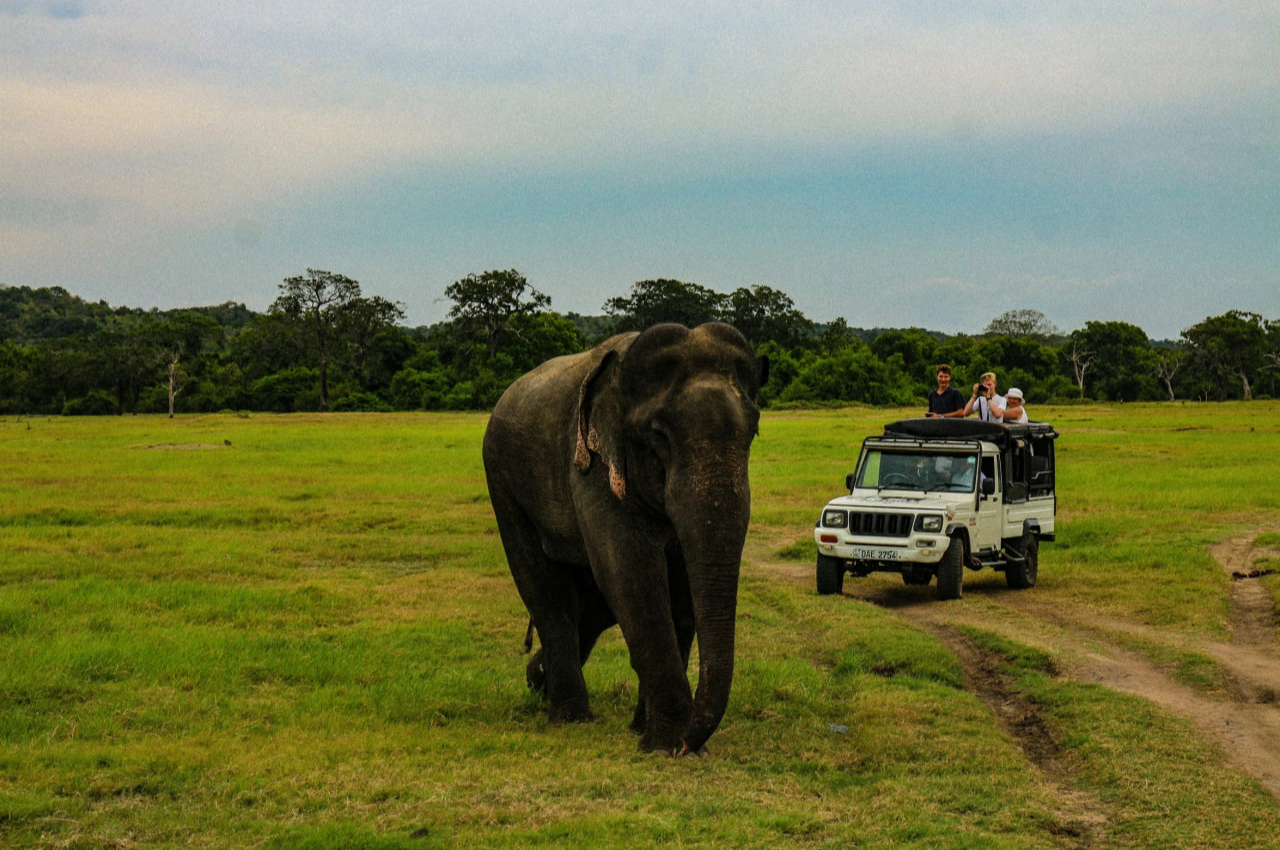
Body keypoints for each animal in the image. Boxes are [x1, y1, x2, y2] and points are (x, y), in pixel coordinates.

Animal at [483, 322, 768, 752]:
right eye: (659, 435)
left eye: (753, 432)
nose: (689, 742)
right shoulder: (593, 466)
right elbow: (631, 572)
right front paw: (666, 745)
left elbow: (678, 585)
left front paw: (651, 734)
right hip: (503, 484)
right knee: (547, 592)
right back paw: (570, 717)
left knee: (589, 604)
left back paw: (539, 683)